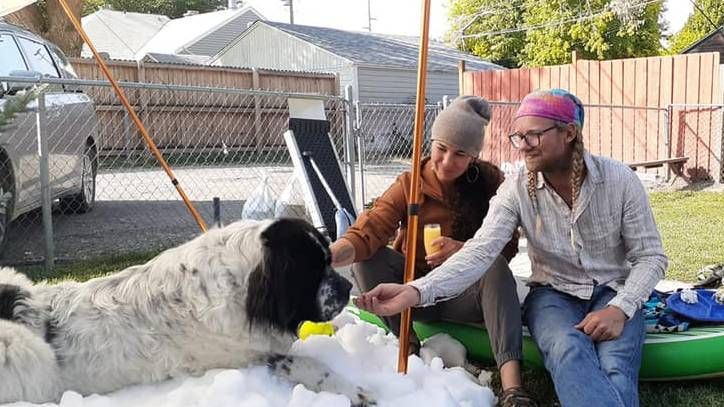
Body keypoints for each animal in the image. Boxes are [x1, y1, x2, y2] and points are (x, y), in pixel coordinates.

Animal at [0, 220, 370, 404]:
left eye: (330, 258)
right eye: (313, 269)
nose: (346, 288)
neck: (238, 287)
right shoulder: (246, 357)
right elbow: (312, 365)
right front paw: (358, 392)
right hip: (22, 348)